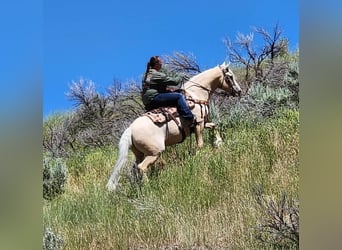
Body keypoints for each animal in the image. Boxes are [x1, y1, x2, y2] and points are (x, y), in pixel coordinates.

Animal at [106, 63, 240, 191]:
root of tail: (130, 129)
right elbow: (200, 144)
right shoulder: (198, 124)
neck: (196, 94)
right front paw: (197, 156)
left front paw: (218, 142)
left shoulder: (204, 122)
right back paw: (148, 187)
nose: (239, 91)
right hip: (154, 152)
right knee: (141, 167)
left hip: (140, 154)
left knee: (135, 169)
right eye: (230, 76)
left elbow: (214, 126)